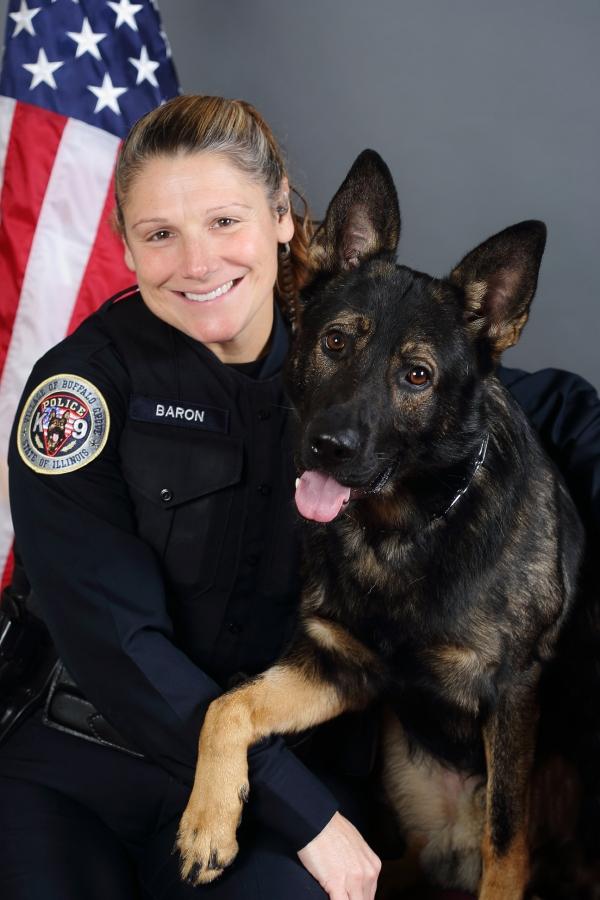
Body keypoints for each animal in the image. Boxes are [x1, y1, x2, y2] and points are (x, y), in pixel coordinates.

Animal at [177, 151, 584, 896]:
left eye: (417, 376)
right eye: (336, 342)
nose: (328, 447)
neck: (405, 529)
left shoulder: (513, 694)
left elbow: (506, 841)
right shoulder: (342, 669)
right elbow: (227, 706)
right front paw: (208, 824)